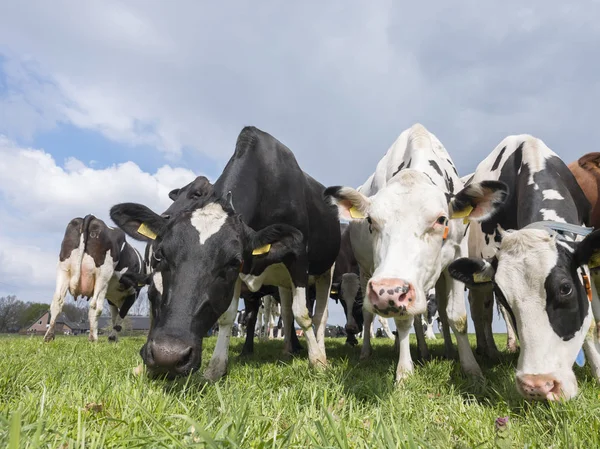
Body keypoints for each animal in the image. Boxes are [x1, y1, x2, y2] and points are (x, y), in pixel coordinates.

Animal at [324, 123, 506, 382]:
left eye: (442, 219)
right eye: (370, 220)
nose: (387, 291)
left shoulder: (455, 259)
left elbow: (456, 317)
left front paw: (471, 369)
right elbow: (402, 322)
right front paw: (404, 371)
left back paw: (433, 349)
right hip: (366, 272)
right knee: (370, 316)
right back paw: (368, 352)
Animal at [448, 133, 600, 400]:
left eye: (566, 289)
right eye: (504, 297)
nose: (538, 386)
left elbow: (592, 322)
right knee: (476, 313)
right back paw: (483, 358)